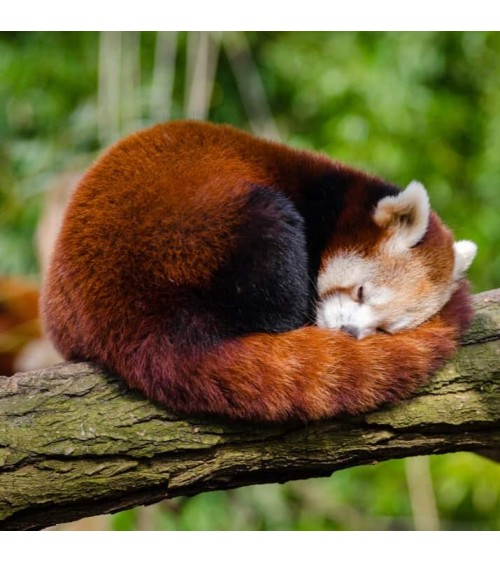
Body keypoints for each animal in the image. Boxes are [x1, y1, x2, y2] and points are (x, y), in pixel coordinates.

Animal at [39, 121, 476, 420]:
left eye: (385, 329)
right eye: (361, 292)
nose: (350, 332)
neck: (340, 203)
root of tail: (132, 319)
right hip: (194, 233)